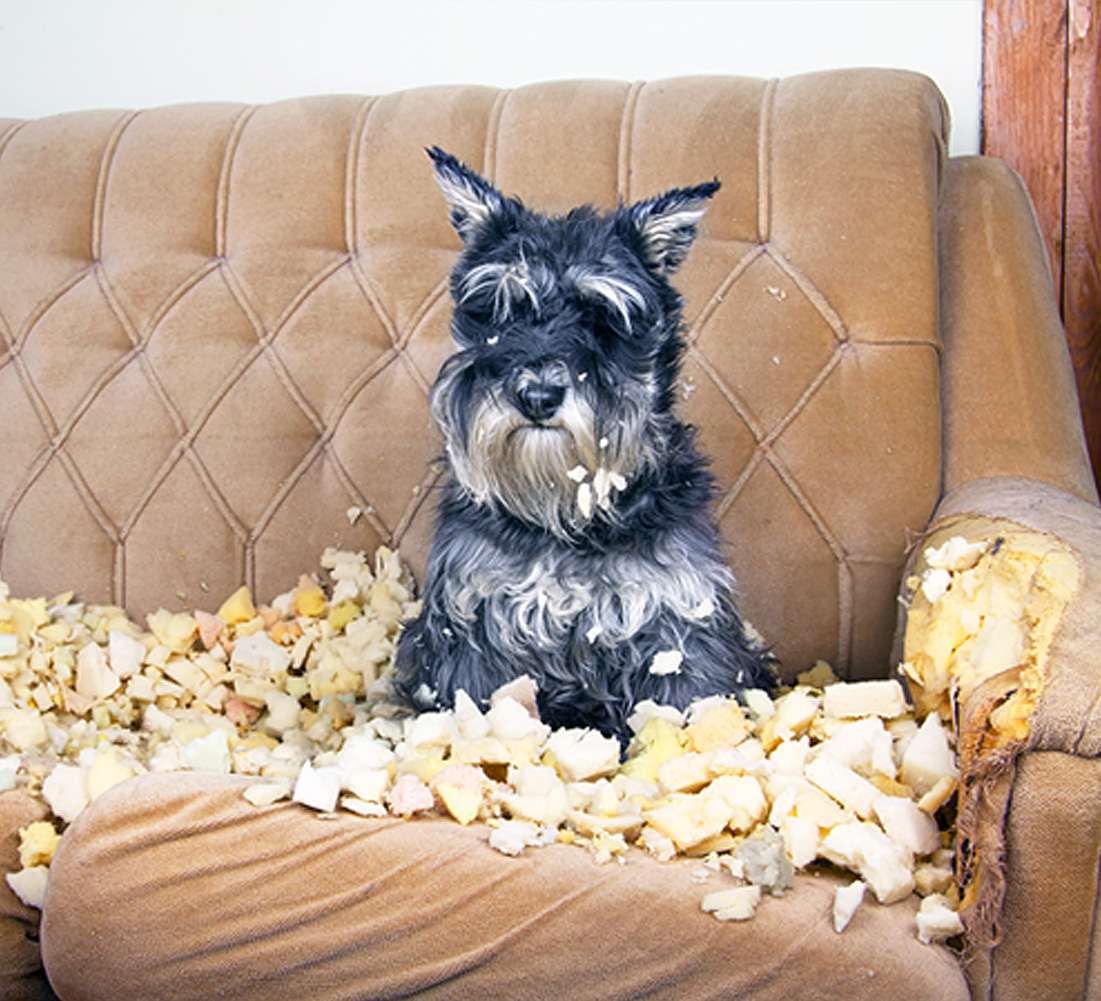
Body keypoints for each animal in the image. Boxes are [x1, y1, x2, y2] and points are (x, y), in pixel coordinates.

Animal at [391, 150, 779, 740]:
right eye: (501, 310)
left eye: (603, 317)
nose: (537, 394)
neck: (569, 516)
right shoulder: (471, 626)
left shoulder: (679, 626)